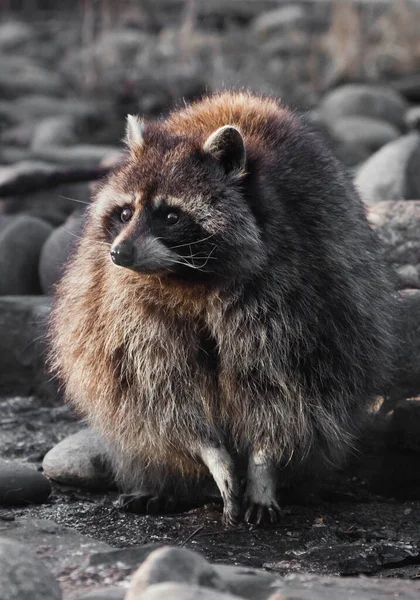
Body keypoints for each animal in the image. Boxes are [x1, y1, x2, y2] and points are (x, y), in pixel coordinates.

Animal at [50, 89, 398, 524]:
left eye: (170, 216)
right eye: (125, 212)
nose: (119, 253)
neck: (188, 276)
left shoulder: (298, 296)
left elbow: (284, 390)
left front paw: (263, 467)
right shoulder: (127, 310)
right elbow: (161, 391)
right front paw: (211, 453)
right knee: (132, 411)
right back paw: (163, 484)